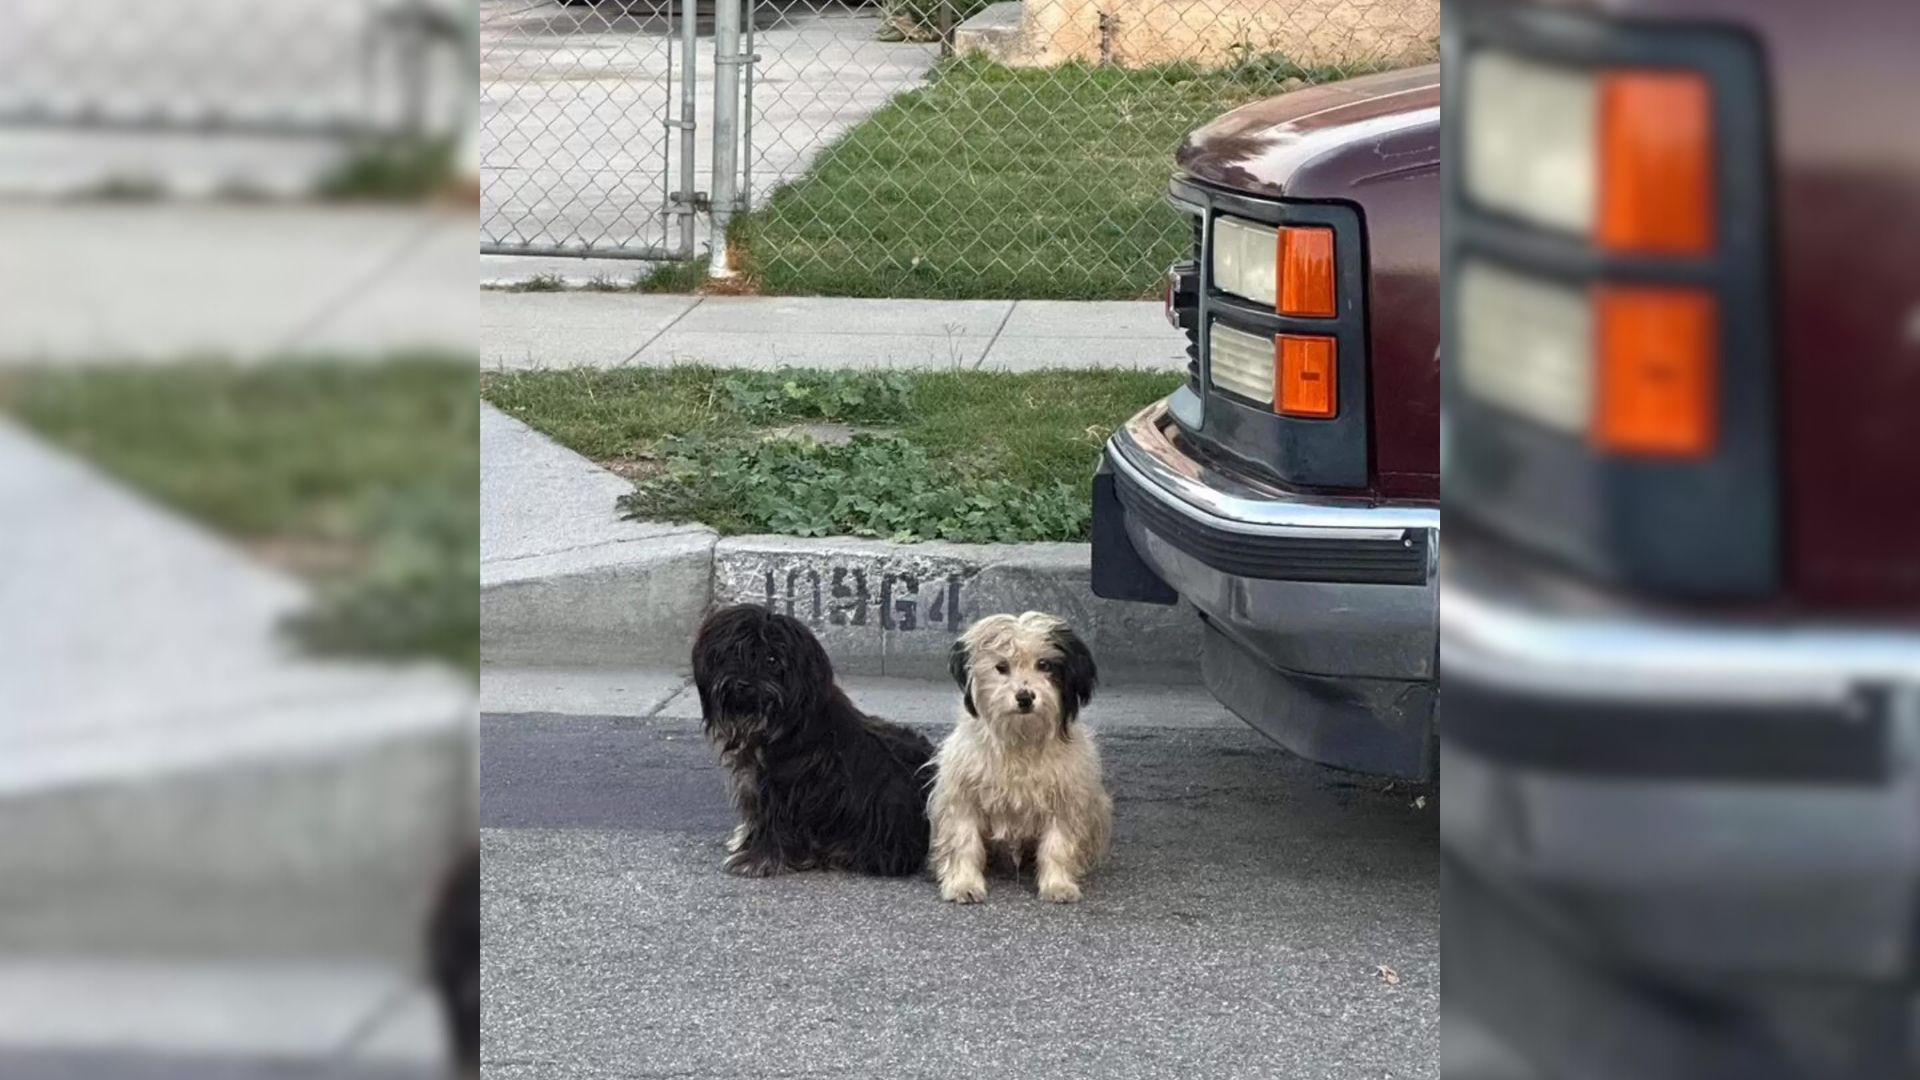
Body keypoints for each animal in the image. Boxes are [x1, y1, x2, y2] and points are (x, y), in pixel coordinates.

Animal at [691, 607, 936, 876]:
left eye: (772, 659)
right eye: (735, 651)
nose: (743, 684)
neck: (782, 723)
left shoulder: (782, 790)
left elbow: (773, 825)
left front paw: (755, 859)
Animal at [925, 611, 1113, 895]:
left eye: (1044, 664)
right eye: (1001, 666)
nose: (1025, 697)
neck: (1020, 739)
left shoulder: (1064, 799)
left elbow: (1057, 845)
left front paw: (1057, 884)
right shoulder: (963, 795)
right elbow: (964, 840)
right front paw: (964, 883)